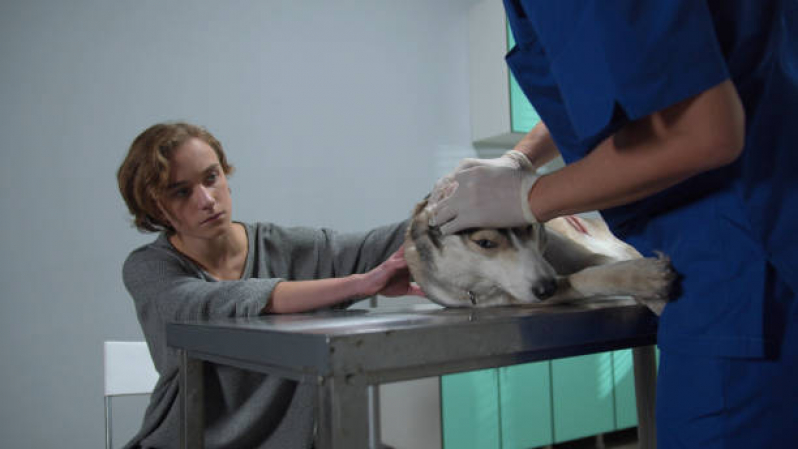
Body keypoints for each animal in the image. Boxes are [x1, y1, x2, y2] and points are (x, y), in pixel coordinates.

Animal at [406, 198, 676, 314]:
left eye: (528, 227)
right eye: (485, 243)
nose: (547, 287)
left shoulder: (588, 254)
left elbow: (602, 264)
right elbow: (582, 278)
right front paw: (645, 279)